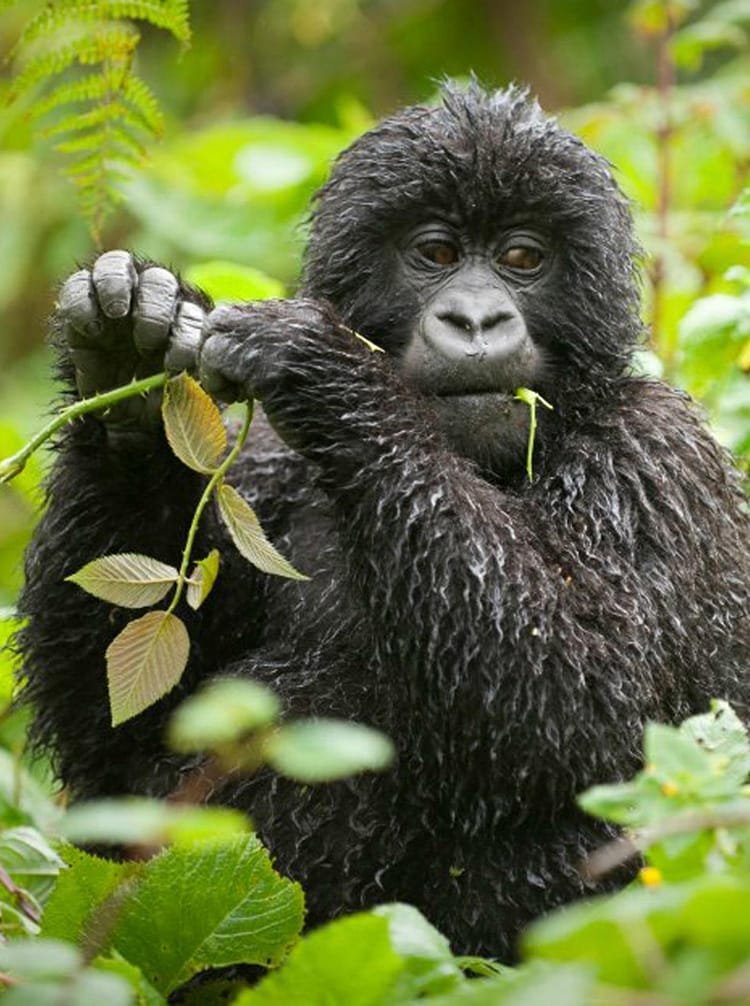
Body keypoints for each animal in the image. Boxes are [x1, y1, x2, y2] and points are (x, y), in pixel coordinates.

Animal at [16, 84, 747, 957]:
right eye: (434, 252)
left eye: (523, 260)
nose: (475, 320)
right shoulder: (259, 469)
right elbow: (117, 752)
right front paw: (125, 355)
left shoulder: (659, 460)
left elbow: (594, 704)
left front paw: (324, 365)